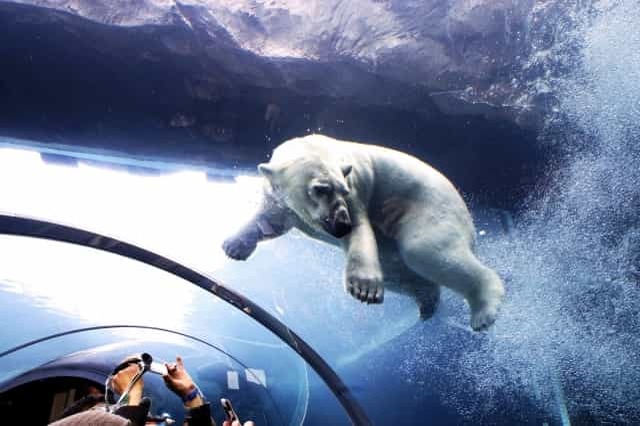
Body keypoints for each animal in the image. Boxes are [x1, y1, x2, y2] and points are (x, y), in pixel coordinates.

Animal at [225, 135, 504, 332]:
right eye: (320, 188)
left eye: (342, 190)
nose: (341, 225)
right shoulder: (281, 199)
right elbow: (272, 221)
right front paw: (233, 245)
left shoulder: (357, 190)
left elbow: (361, 231)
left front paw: (364, 289)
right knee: (400, 272)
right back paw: (427, 303)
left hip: (432, 207)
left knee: (425, 250)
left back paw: (484, 310)